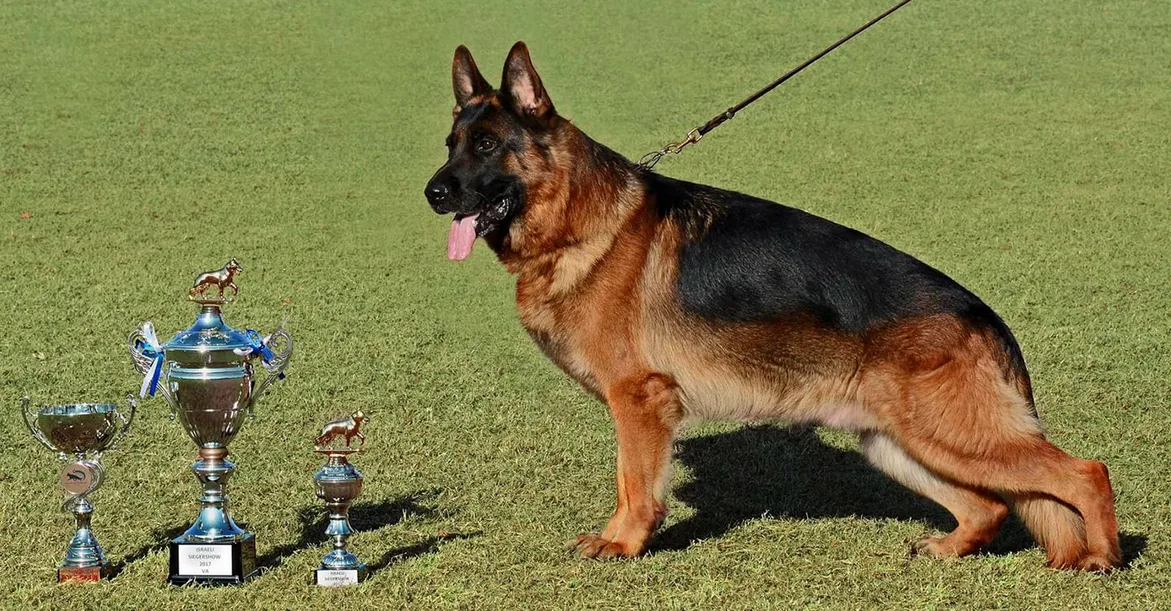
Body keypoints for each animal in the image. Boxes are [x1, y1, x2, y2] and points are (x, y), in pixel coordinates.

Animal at [426, 42, 1119, 571]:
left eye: (486, 147)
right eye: (450, 143)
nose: (433, 192)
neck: (576, 219)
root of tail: (985, 317)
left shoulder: (639, 401)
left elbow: (634, 486)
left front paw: (623, 544)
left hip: (953, 436)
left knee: (1085, 473)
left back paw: (1101, 557)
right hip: (901, 443)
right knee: (992, 504)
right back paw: (950, 549)